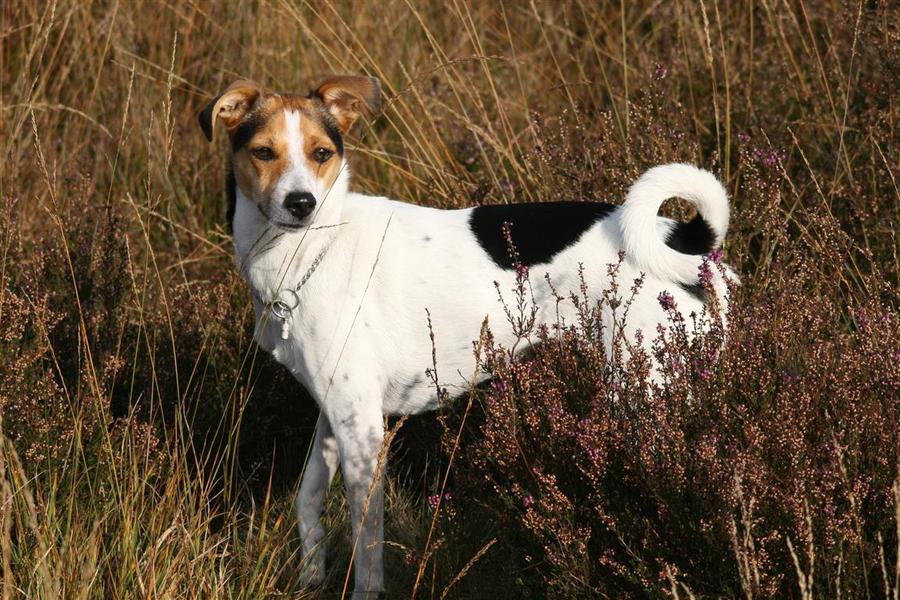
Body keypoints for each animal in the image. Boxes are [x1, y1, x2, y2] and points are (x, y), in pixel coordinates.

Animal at [199, 75, 732, 596]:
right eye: (263, 152)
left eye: (321, 153)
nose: (301, 204)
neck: (313, 249)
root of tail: (682, 235)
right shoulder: (337, 415)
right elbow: (308, 501)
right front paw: (311, 576)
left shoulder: (362, 429)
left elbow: (366, 546)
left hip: (645, 395)